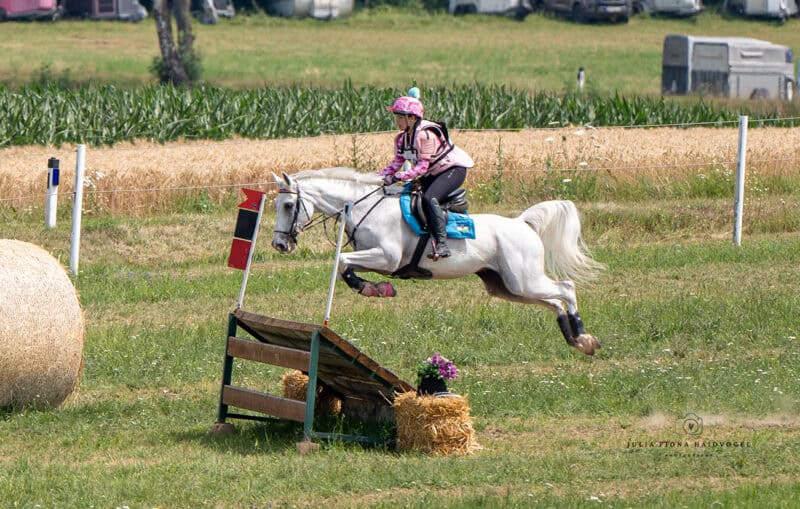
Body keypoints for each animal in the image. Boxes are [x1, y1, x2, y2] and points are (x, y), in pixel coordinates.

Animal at [272, 167, 604, 354]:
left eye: (288, 205)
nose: (279, 244)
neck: (367, 207)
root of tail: (522, 223)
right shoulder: (375, 258)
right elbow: (346, 266)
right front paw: (375, 288)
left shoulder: (387, 257)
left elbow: (341, 259)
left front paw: (373, 289)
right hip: (507, 286)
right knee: (555, 301)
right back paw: (575, 339)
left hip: (524, 279)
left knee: (566, 288)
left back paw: (583, 336)